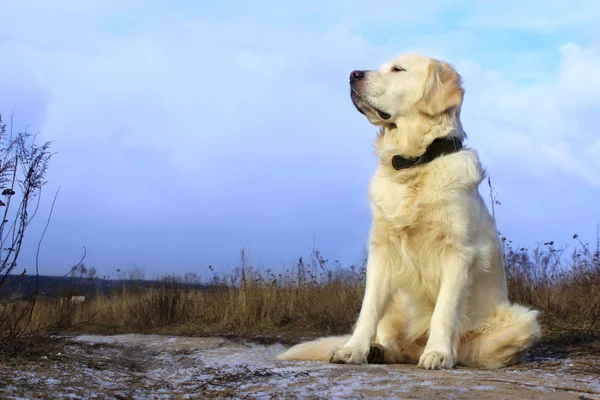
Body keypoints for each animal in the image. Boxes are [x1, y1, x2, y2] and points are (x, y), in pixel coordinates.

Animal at [278, 53, 540, 368]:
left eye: (398, 69)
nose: (353, 74)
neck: (415, 162)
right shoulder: (381, 251)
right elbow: (368, 310)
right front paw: (353, 349)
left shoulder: (459, 252)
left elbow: (444, 311)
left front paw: (438, 352)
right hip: (397, 300)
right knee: (394, 341)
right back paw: (379, 350)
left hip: (523, 321)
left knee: (472, 351)